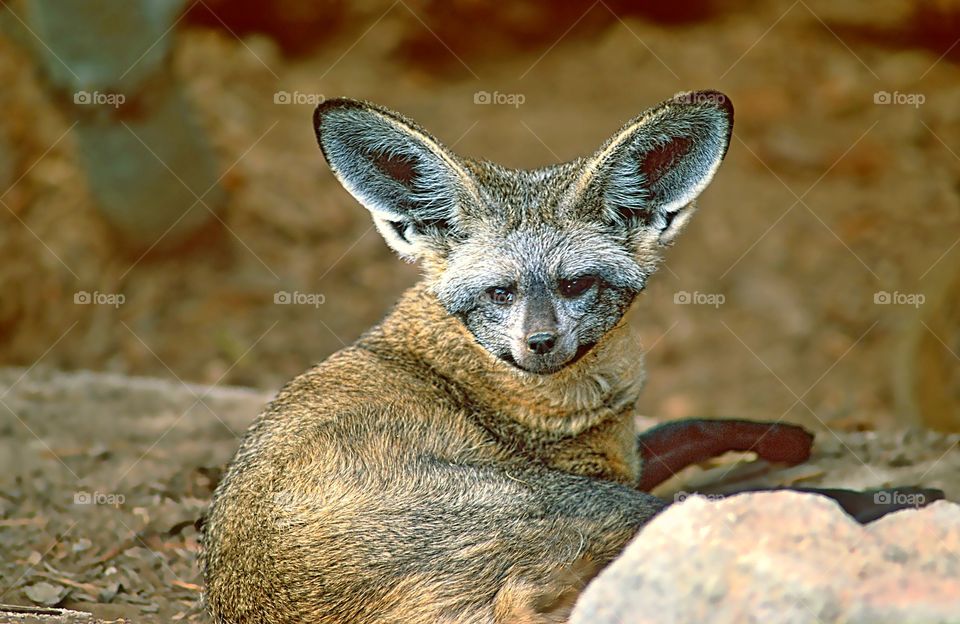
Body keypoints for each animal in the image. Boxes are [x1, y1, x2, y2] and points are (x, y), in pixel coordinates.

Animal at [200, 90, 825, 623]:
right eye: (500, 293)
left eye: (576, 285)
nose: (540, 343)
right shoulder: (602, 479)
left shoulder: (622, 461)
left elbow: (688, 425)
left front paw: (780, 438)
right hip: (577, 503)